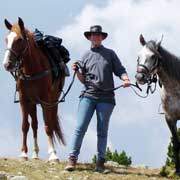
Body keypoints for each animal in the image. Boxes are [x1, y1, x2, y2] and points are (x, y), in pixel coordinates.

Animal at [2, 17, 65, 161]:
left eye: (19, 40)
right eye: (6, 39)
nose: (6, 64)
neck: (32, 70)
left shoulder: (46, 100)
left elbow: (48, 126)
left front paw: (53, 155)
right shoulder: (24, 100)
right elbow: (25, 126)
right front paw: (23, 154)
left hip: (53, 101)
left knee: (50, 122)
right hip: (32, 103)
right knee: (34, 125)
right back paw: (35, 154)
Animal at [136, 34, 180, 175]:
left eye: (153, 56)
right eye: (138, 55)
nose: (139, 77)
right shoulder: (170, 118)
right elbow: (176, 144)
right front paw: (177, 171)